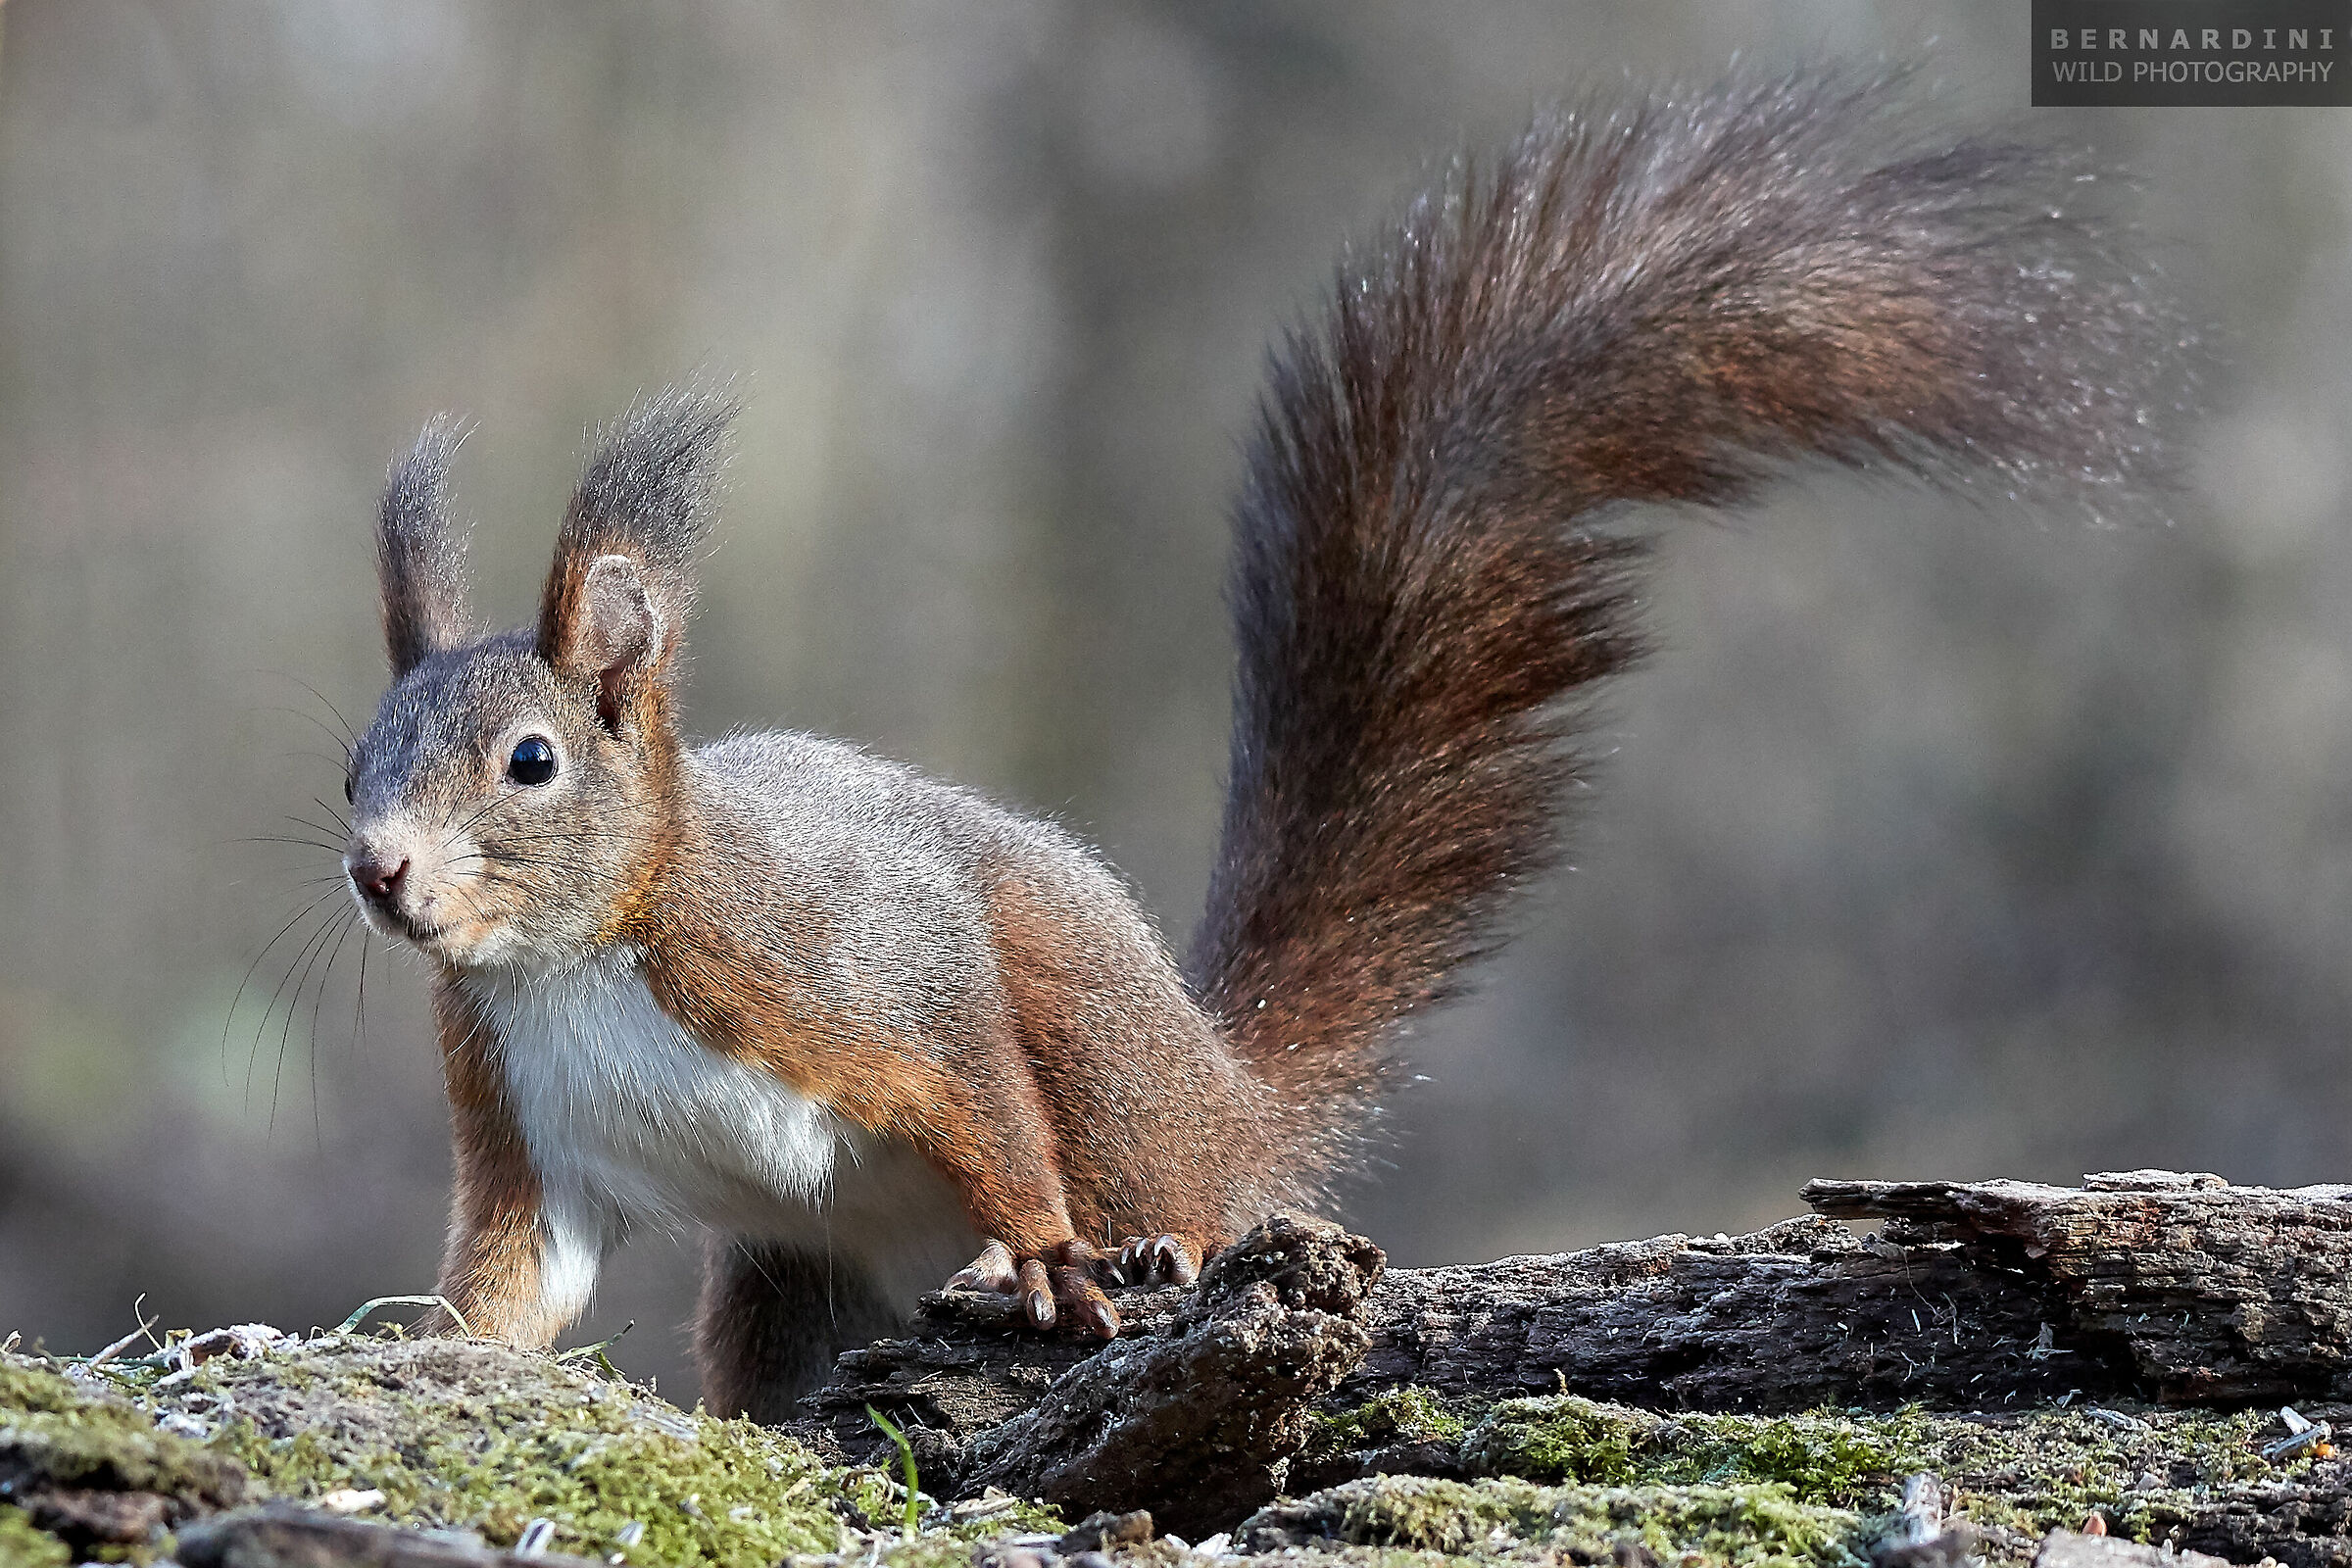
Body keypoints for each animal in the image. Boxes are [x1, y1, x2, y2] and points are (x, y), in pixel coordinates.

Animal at [337, 69, 2185, 1420]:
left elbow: (976, 1084)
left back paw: (1106, 1258)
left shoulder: (835, 965)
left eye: (529, 762)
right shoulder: (517, 1117)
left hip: (1119, 1078)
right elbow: (519, 1278)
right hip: (797, 1277)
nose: (379, 873)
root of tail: (1229, 1096)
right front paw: (425, 1346)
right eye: (350, 763)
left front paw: (1044, 1258)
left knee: (1119, 1148)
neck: (589, 946)